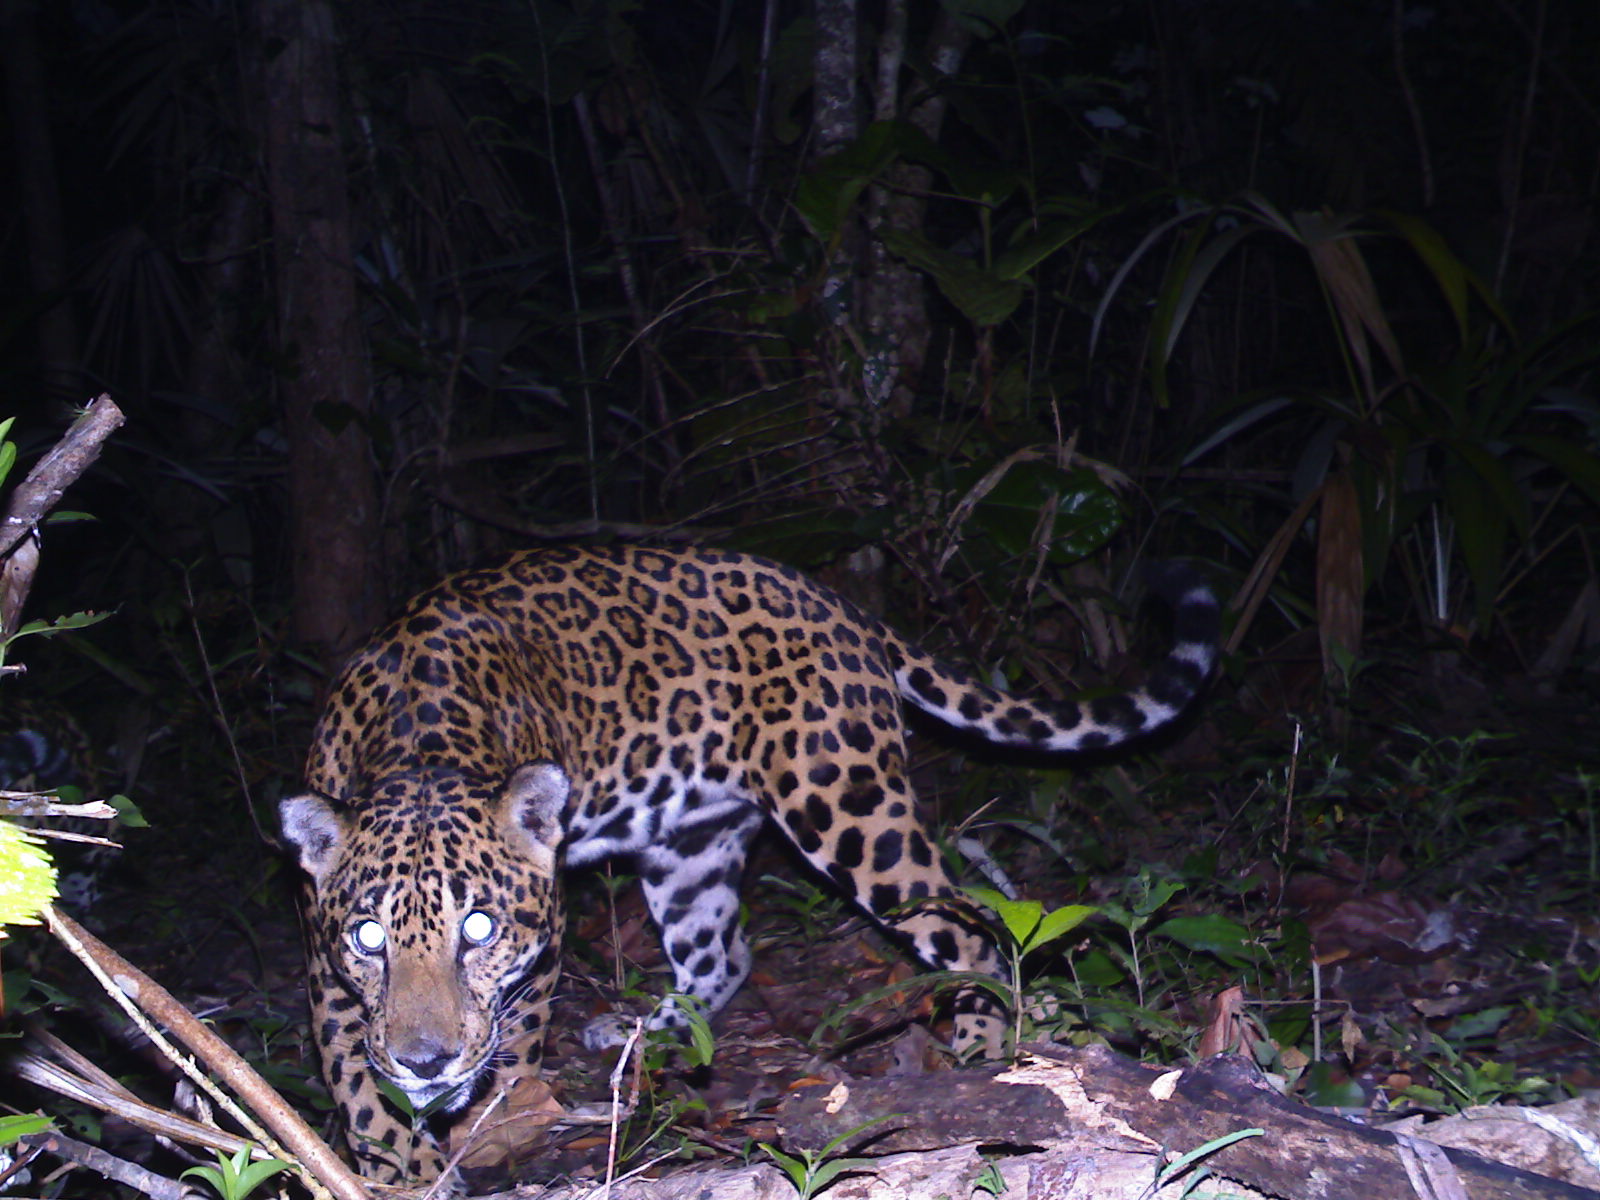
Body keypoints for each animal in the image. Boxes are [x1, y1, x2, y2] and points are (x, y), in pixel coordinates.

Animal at [280, 543, 1218, 1185]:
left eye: (477, 928)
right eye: (368, 938)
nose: (424, 1060)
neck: (418, 750)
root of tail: (833, 600)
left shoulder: (537, 956)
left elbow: (507, 1059)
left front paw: (479, 1132)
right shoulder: (326, 973)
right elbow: (358, 1084)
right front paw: (396, 1165)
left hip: (848, 806)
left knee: (971, 926)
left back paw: (981, 1056)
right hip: (687, 845)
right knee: (723, 955)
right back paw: (648, 1030)